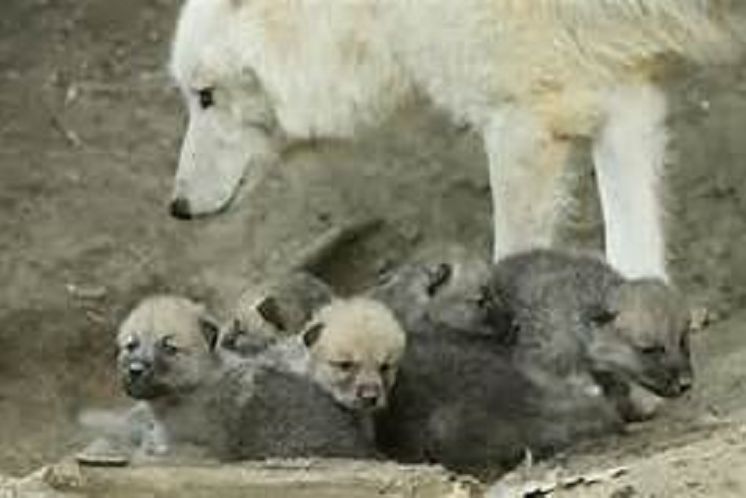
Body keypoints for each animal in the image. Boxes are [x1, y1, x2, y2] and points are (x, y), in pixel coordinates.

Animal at [168, 0, 741, 280]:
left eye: (205, 96)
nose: (177, 206)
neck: (375, 11)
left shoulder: (523, 120)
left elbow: (512, 260)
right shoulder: (620, 97)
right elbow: (634, 257)